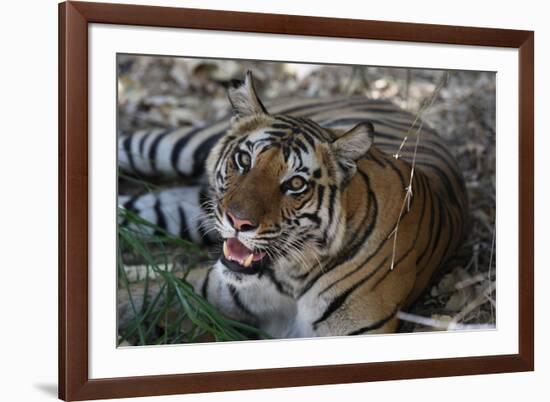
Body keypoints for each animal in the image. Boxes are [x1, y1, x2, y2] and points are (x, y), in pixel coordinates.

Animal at [119, 71, 470, 336]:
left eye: (296, 184)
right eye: (244, 160)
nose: (237, 221)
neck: (291, 278)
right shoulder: (198, 288)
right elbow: (132, 299)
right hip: (183, 146)